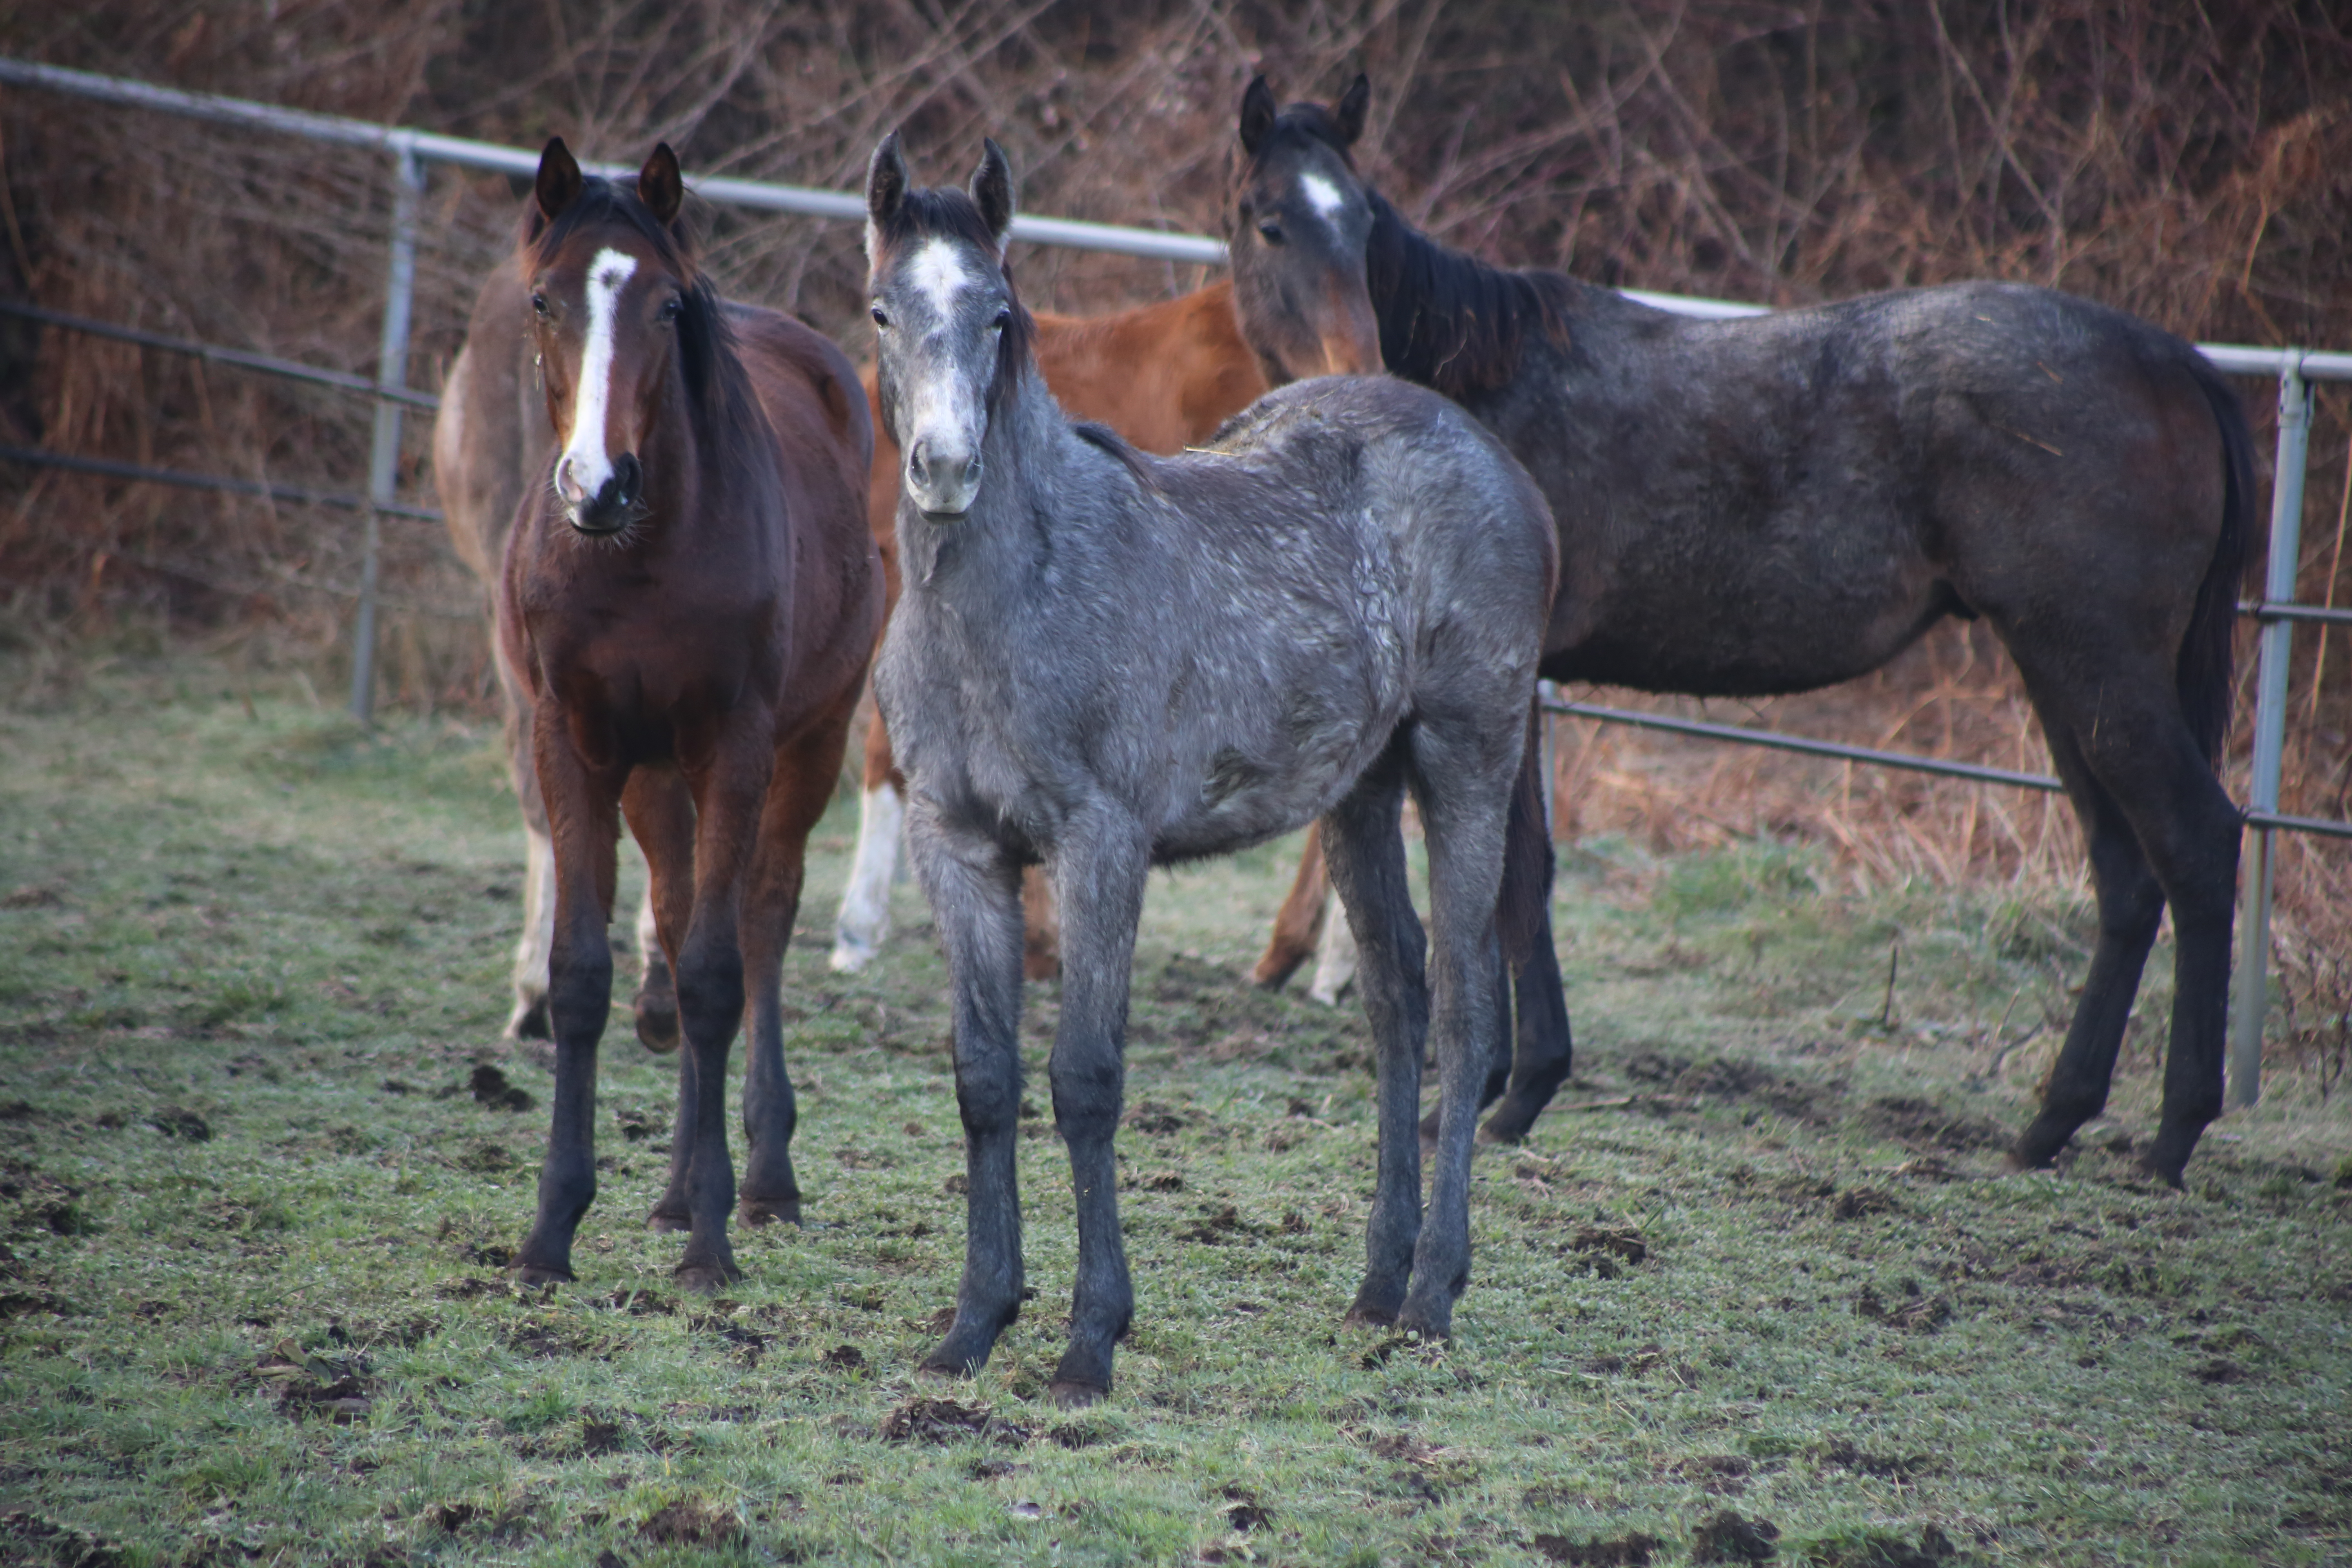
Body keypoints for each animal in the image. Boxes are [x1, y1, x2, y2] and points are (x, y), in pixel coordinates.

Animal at [499, 138, 884, 1288]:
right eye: (542, 299)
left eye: (667, 307)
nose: (598, 485)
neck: (638, 560)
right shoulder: (575, 746)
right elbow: (584, 974)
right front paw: (550, 1233)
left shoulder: (736, 746)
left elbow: (719, 975)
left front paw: (715, 1240)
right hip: (652, 773)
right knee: (673, 915)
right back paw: (671, 1191)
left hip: (806, 745)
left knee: (759, 920)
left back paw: (760, 1181)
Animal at [865, 138, 1561, 1410]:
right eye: (885, 310)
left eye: (999, 314)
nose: (944, 468)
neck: (1012, 598)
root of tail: (1500, 464)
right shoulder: (959, 847)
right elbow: (983, 1077)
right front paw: (973, 1325)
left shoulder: (1100, 845)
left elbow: (1085, 1077)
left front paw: (1090, 1339)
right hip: (1359, 792)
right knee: (1396, 1002)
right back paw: (1376, 1284)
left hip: (1465, 762)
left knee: (1465, 1014)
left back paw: (1432, 1296)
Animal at [1223, 70, 2248, 1175]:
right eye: (1268, 220)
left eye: (1361, 223)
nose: (1357, 362)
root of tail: (2176, 363)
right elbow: (1512, 870)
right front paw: (1514, 1084)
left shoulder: (1498, 682)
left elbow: (1511, 871)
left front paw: (1504, 1093)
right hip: (2060, 672)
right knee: (2126, 877)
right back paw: (2050, 1122)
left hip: (2097, 664)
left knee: (2196, 846)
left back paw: (2171, 1135)